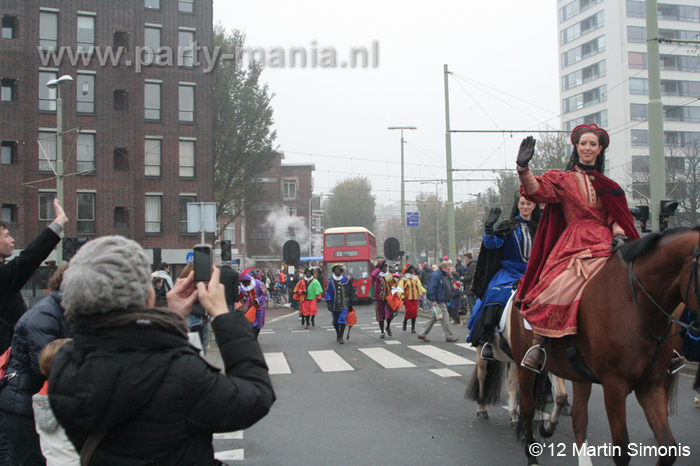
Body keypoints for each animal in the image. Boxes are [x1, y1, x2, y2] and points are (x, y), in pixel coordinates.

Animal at [508, 228, 700, 466]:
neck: (636, 303)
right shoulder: (614, 386)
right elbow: (622, 450)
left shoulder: (651, 385)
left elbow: (668, 448)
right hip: (522, 363)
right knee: (528, 406)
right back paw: (532, 456)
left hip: (579, 373)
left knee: (579, 418)